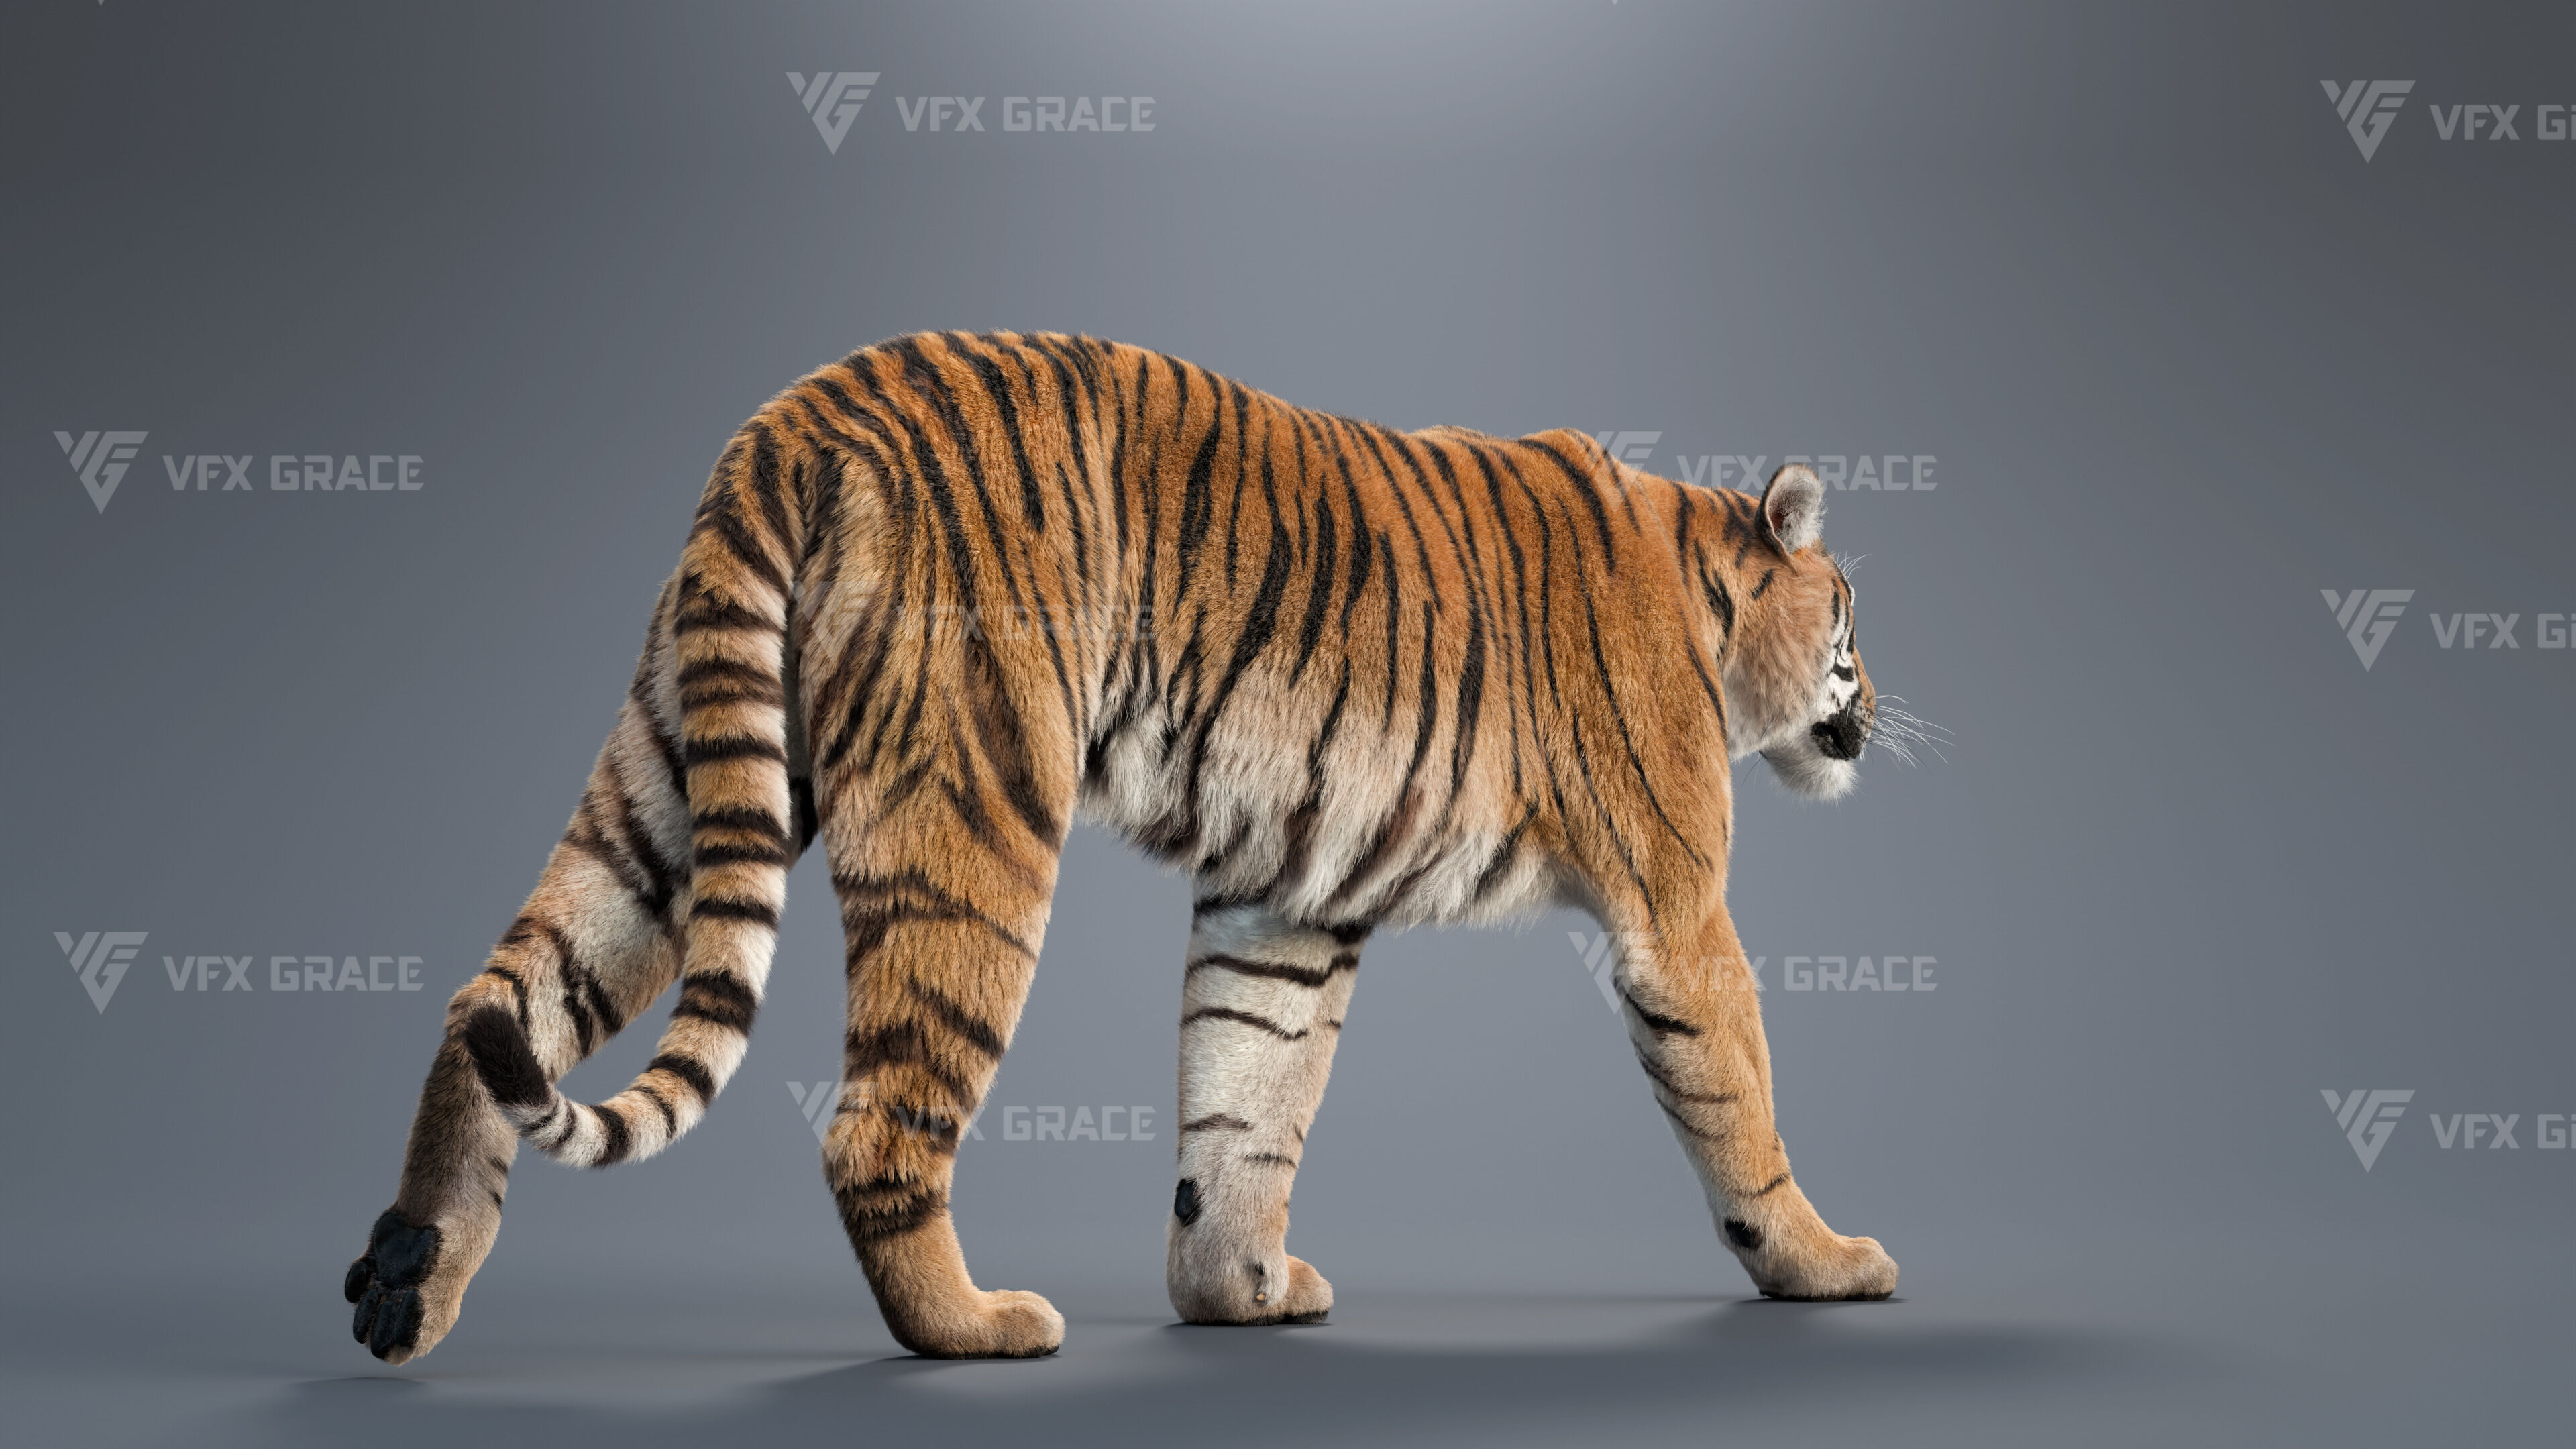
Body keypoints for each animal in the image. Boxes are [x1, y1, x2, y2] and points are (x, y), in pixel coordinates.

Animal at [343, 331, 1899, 1364]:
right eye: (1851, 618)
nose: (1875, 703)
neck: (1706, 587)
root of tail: (796, 419)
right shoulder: (1677, 910)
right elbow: (1740, 1100)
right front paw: (1825, 1263)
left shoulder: (1284, 906)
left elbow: (1245, 1106)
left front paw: (1235, 1293)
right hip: (970, 817)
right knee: (872, 1122)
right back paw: (976, 1327)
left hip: (676, 784)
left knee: (496, 1002)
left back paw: (409, 1281)